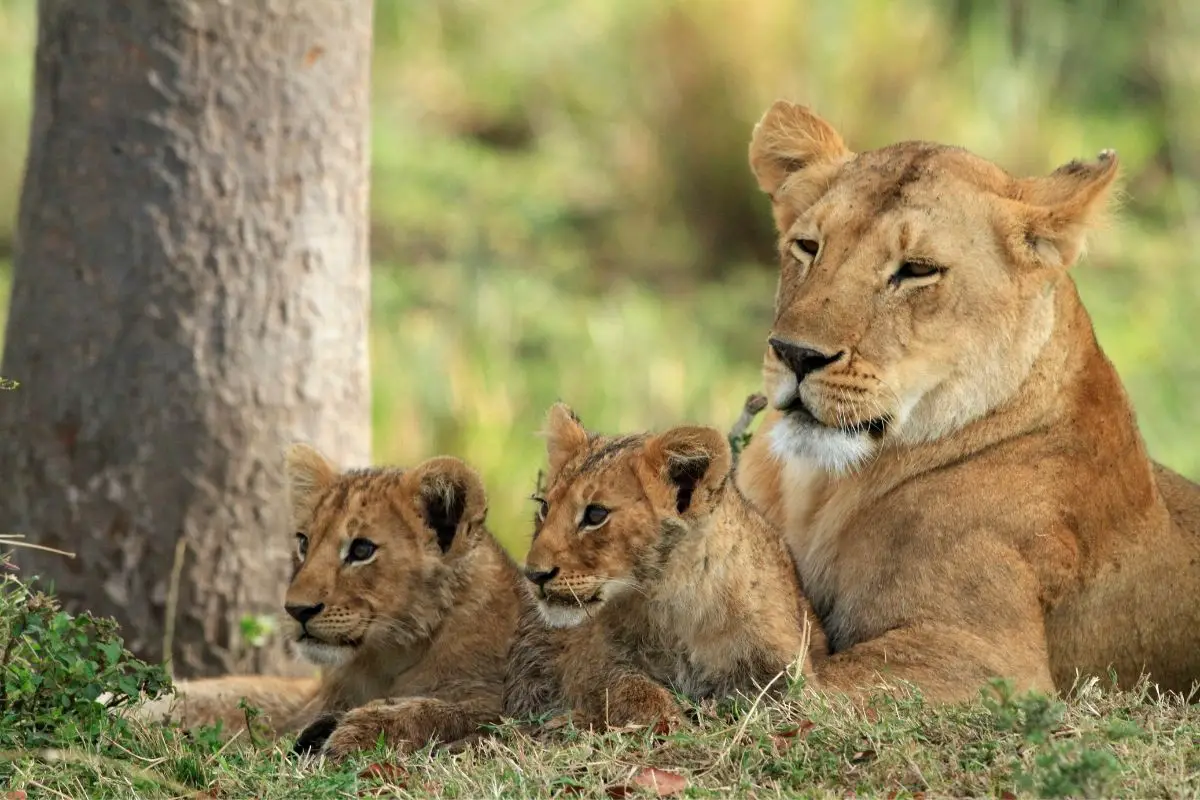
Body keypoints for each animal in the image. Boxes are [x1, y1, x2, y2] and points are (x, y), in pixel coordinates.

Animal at [734, 98, 1200, 700]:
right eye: (808, 247)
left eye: (916, 270)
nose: (794, 354)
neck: (820, 489)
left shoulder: (986, 659)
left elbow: (792, 685)